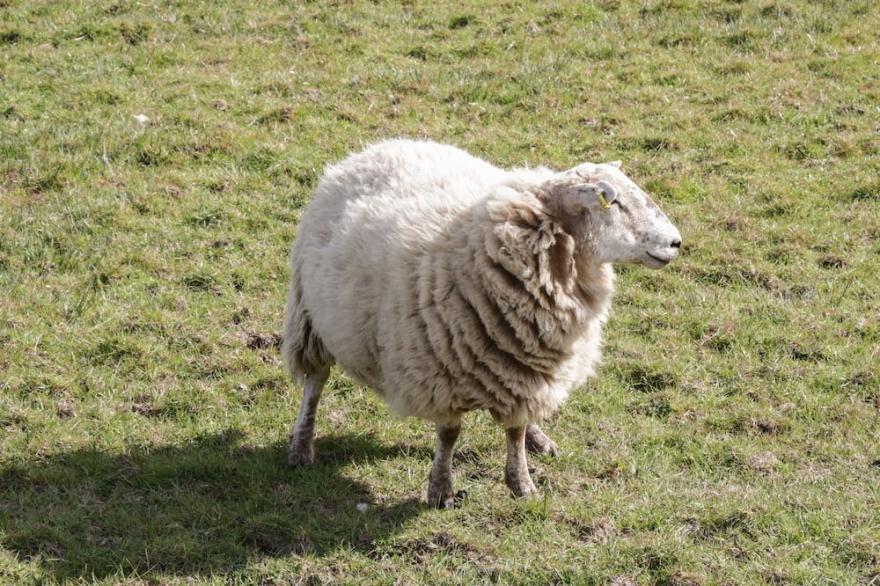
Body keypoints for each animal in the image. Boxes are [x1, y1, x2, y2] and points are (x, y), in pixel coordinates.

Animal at [282, 138, 680, 506]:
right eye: (613, 201)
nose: (676, 242)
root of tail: (376, 147)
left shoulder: (526, 369)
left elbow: (515, 431)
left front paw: (522, 483)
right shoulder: (440, 373)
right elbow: (448, 435)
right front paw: (441, 490)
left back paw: (539, 438)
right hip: (309, 317)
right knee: (315, 382)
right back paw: (302, 447)